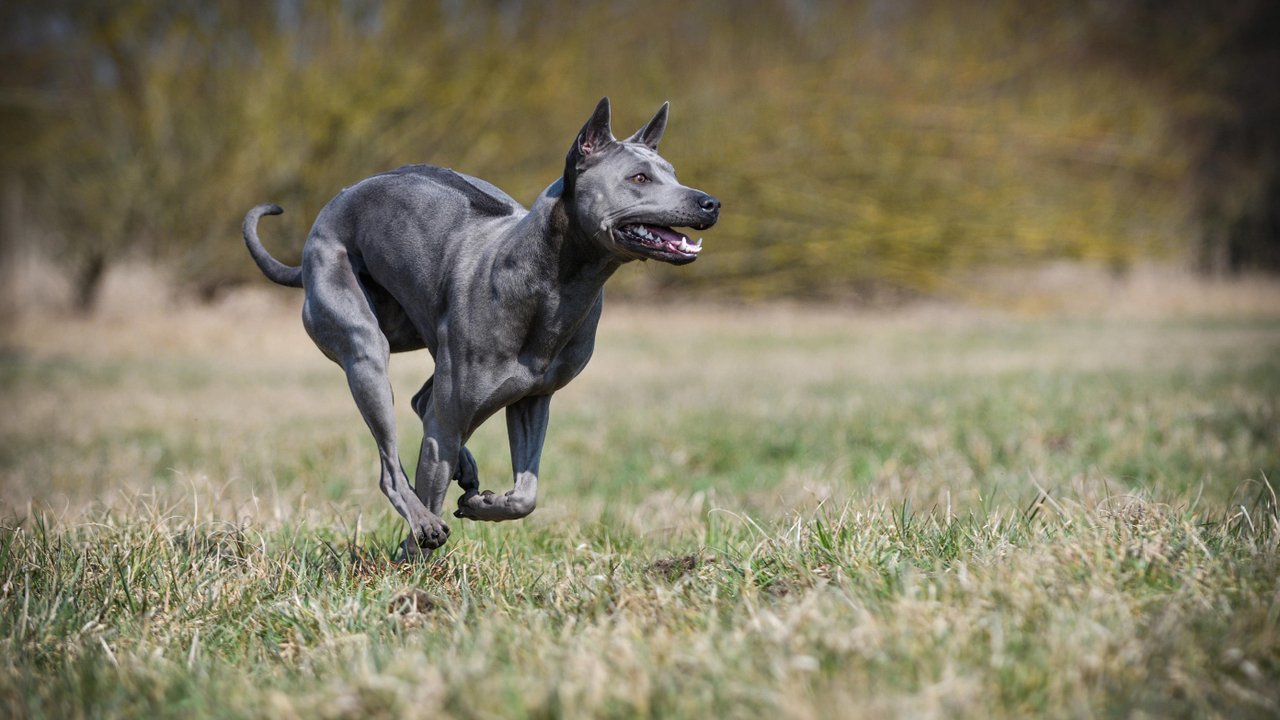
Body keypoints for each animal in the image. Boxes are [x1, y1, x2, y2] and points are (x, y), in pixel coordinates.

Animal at [241, 96, 721, 556]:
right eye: (639, 178)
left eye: (672, 173)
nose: (711, 202)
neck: (555, 282)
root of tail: (325, 217)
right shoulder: (446, 425)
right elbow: (429, 495)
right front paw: (416, 557)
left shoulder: (533, 401)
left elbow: (525, 495)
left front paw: (484, 503)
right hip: (365, 351)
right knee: (392, 462)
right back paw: (425, 511)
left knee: (422, 400)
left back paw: (466, 471)